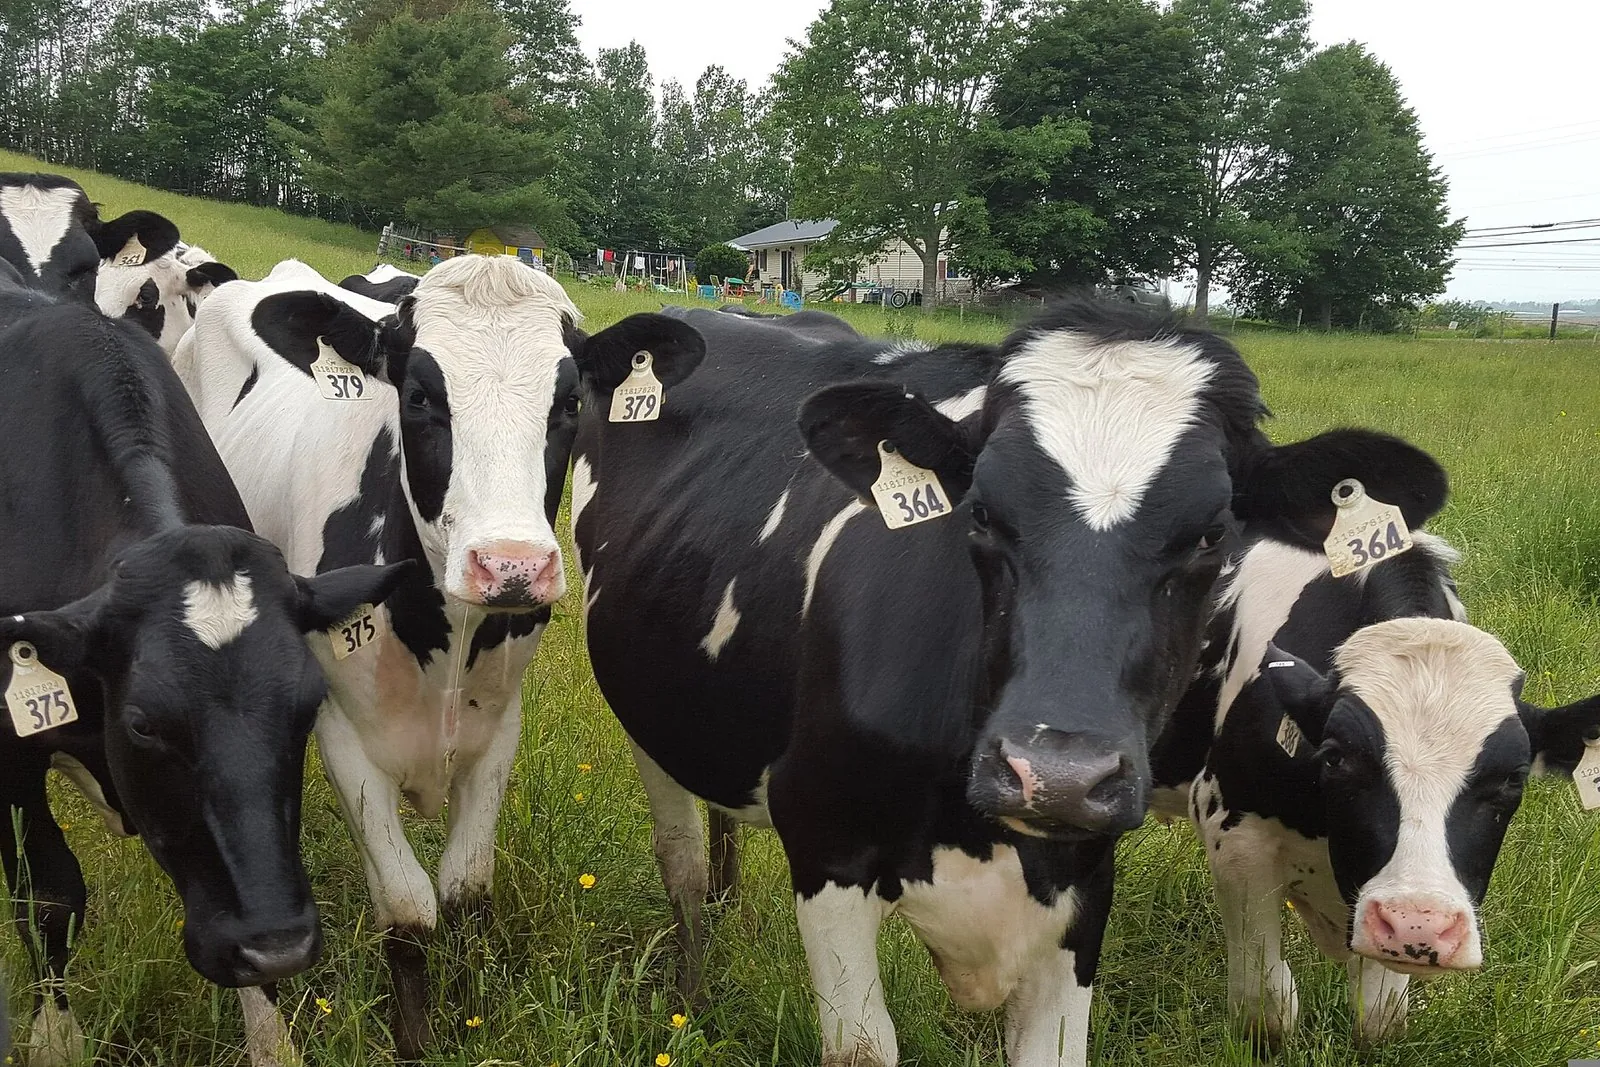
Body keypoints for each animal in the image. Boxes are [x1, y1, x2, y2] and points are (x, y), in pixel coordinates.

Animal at [0, 273, 407, 1067]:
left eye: (307, 706)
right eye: (143, 723)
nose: (279, 945)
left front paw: (272, 1040)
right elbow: (49, 896)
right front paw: (55, 1037)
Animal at [175, 254, 705, 1059]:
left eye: (569, 401)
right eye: (420, 395)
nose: (512, 564)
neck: (445, 637)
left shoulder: (497, 730)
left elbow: (463, 890)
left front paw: (468, 1015)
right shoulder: (346, 738)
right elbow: (408, 907)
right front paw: (415, 1040)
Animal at [571, 299, 1451, 1066]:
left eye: (1213, 533)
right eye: (982, 513)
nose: (1055, 775)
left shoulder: (1082, 884)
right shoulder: (826, 840)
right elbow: (862, 1047)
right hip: (650, 716)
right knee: (681, 861)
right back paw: (694, 989)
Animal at [1151, 532, 1600, 1046]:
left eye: (1514, 777)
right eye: (1335, 756)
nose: (1417, 924)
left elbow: (1379, 1016)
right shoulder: (1234, 833)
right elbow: (1267, 1009)